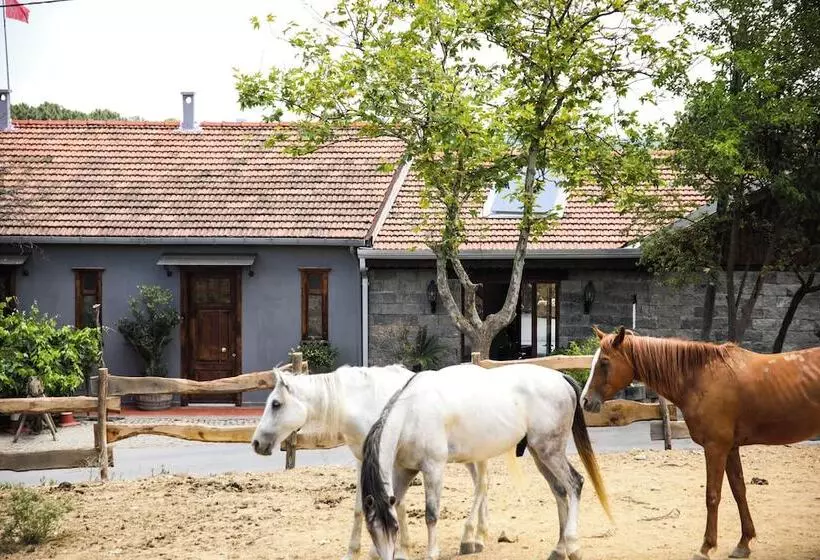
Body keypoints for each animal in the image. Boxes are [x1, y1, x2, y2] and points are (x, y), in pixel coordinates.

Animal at [250, 364, 494, 560]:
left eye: (276, 404)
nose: (256, 443)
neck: (364, 403)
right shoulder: (364, 461)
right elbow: (361, 507)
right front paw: (355, 552)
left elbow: (395, 502)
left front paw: (390, 549)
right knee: (479, 485)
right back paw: (480, 534)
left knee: (481, 485)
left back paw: (471, 539)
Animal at [361, 362, 612, 560]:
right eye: (371, 529)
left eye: (392, 528)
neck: (411, 413)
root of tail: (561, 378)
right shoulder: (404, 470)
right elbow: (399, 503)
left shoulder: (433, 468)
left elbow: (431, 514)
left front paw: (432, 553)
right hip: (540, 454)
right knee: (560, 491)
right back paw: (559, 549)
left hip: (550, 452)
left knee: (575, 484)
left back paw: (573, 546)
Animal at [581, 326, 820, 560]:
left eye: (604, 362)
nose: (585, 401)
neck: (703, 377)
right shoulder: (730, 449)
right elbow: (739, 491)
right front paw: (744, 543)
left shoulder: (716, 448)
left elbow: (712, 496)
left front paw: (706, 547)